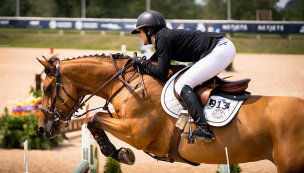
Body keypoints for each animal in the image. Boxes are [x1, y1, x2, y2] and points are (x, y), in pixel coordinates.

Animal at [37, 53, 304, 172]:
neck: (127, 84)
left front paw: (118, 152)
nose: (42, 128)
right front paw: (118, 152)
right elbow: (94, 120)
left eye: (47, 88)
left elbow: (93, 118)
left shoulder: (137, 133)